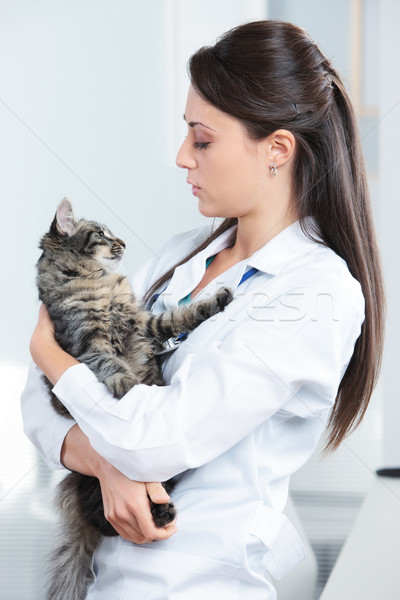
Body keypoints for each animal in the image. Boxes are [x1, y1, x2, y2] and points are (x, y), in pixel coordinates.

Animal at [36, 200, 231, 600]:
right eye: (102, 234)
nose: (123, 242)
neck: (98, 282)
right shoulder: (86, 344)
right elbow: (110, 363)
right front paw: (128, 384)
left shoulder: (143, 322)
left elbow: (181, 315)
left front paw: (218, 300)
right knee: (108, 523)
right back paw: (160, 515)